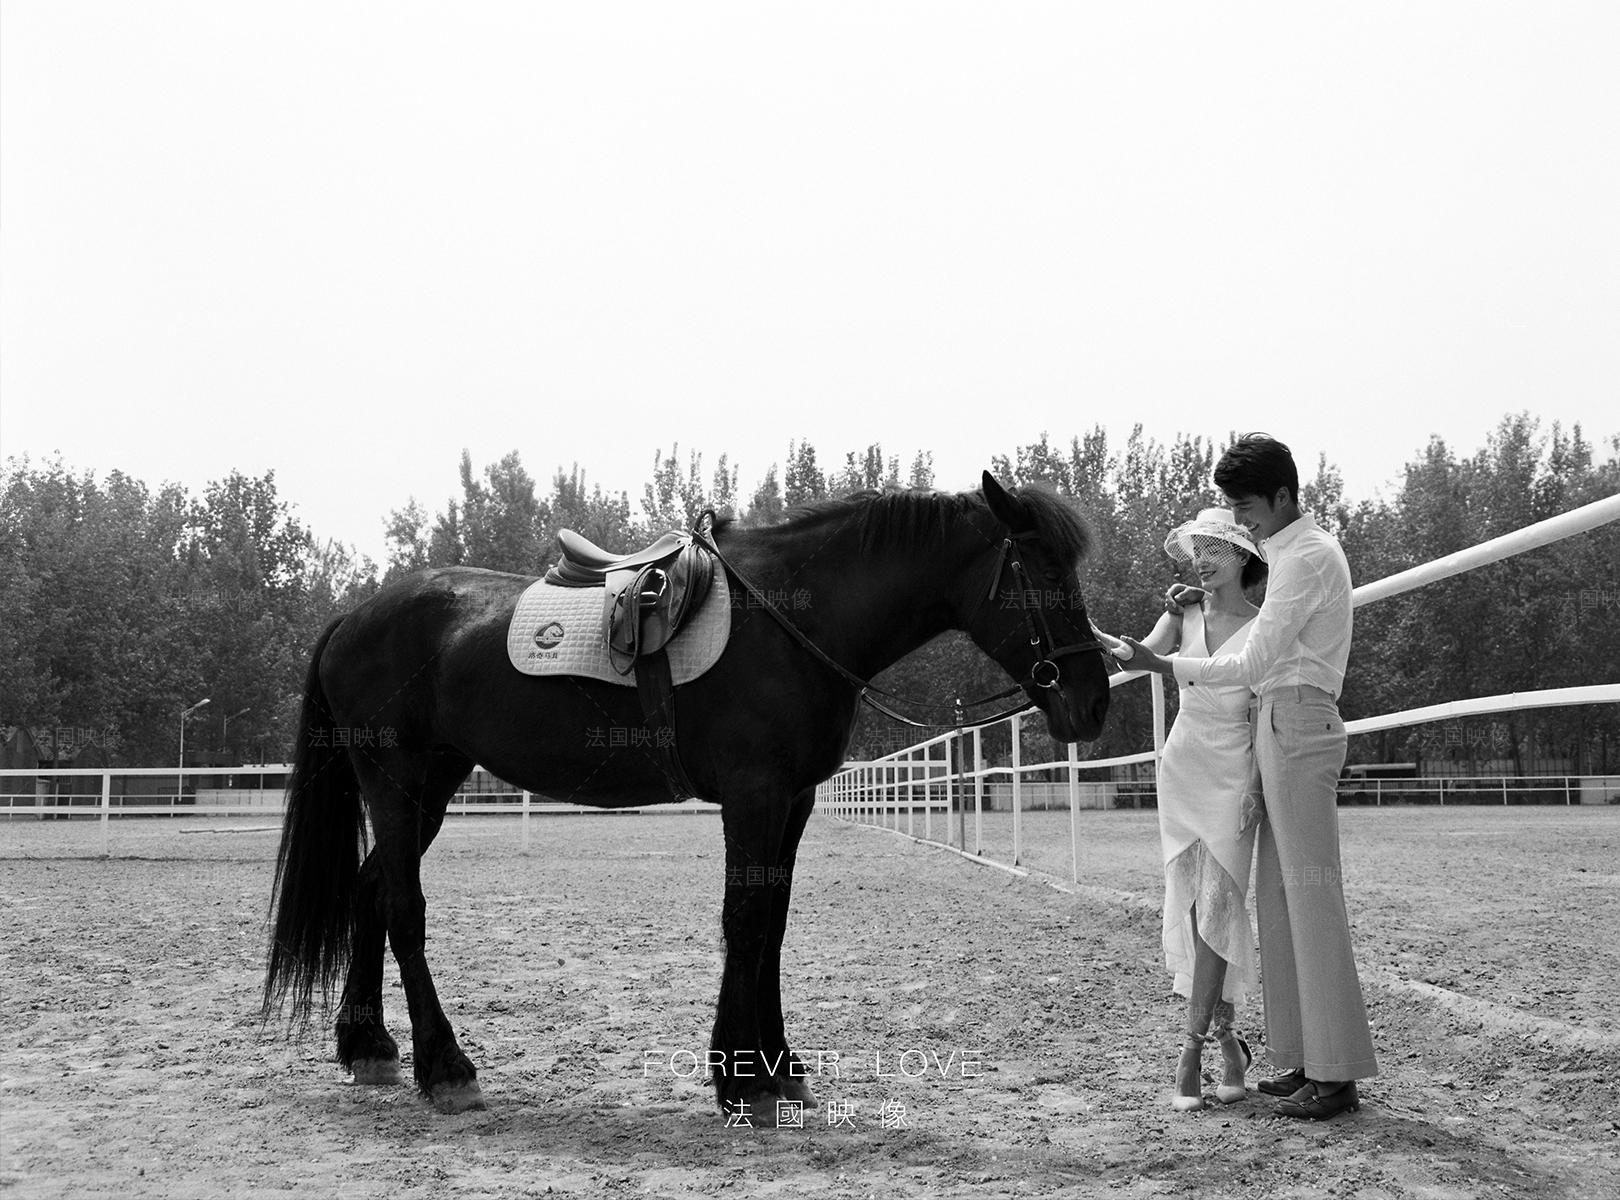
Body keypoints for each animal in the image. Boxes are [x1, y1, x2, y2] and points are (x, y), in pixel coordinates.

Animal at [265, 469, 1114, 1114]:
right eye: (1041, 572)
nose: (1091, 703)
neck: (793, 619)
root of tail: (354, 615)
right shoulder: (753, 793)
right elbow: (745, 921)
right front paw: (744, 1082)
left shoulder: (793, 801)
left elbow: (772, 924)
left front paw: (775, 1067)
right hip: (395, 779)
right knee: (402, 905)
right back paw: (445, 1070)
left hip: (431, 786)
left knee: (371, 891)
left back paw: (369, 1047)